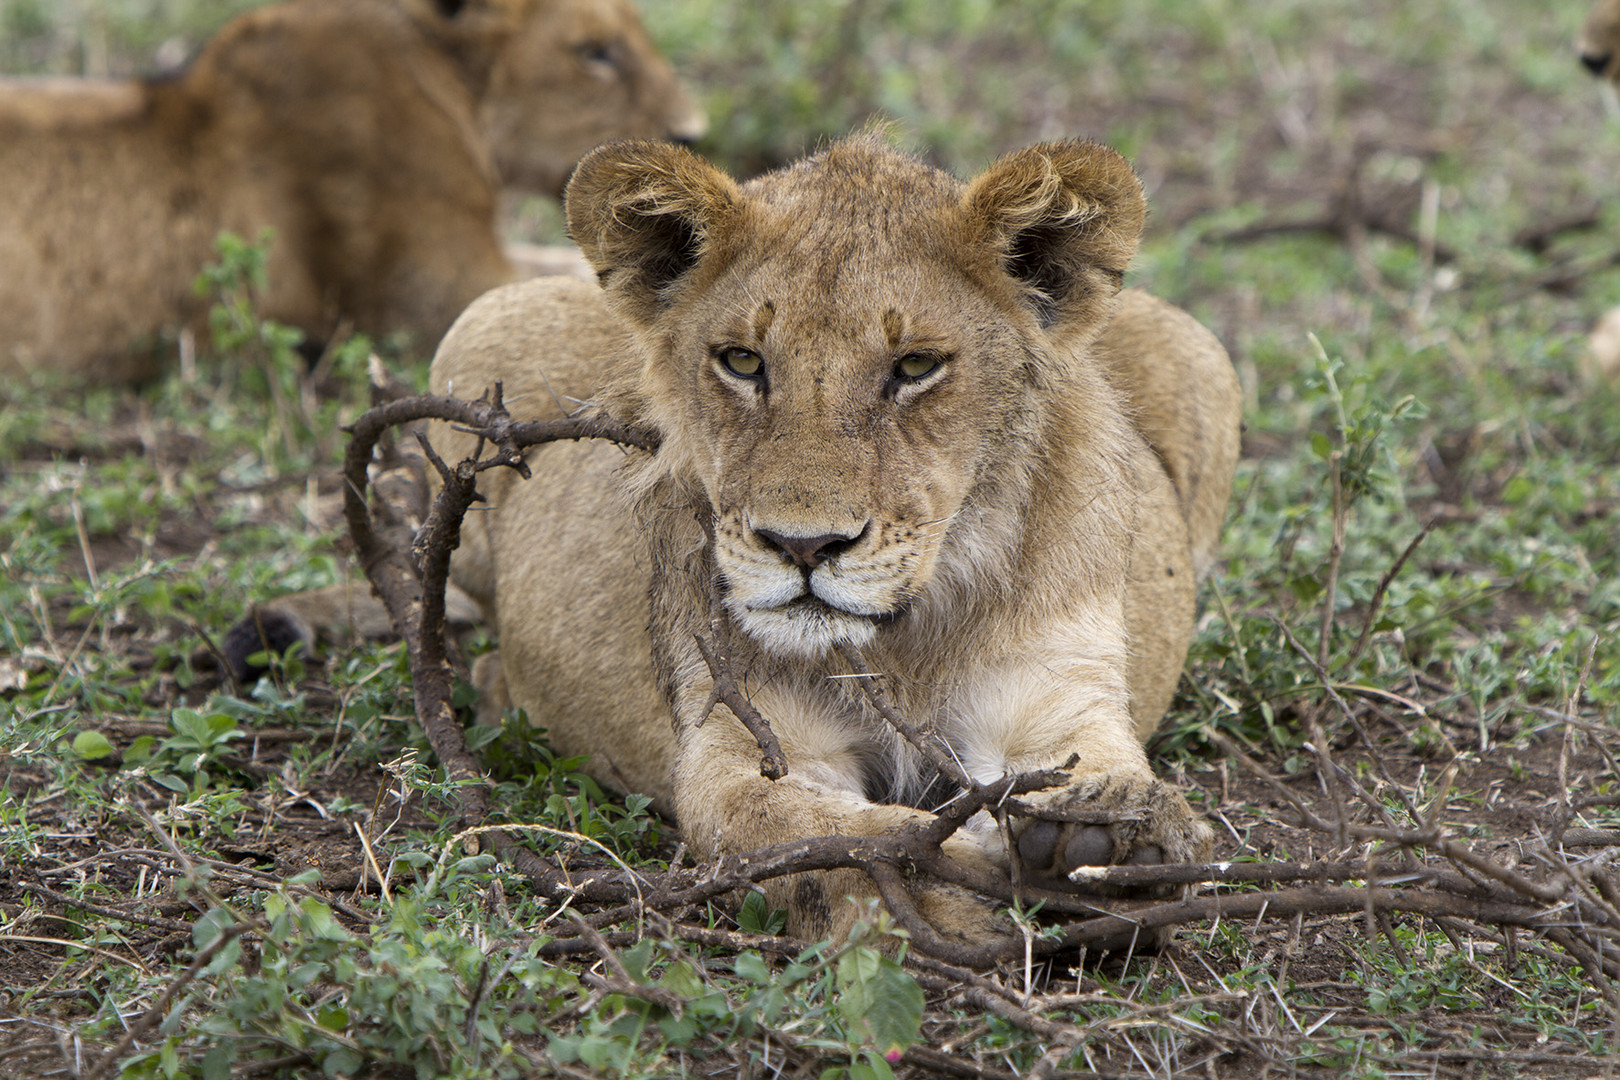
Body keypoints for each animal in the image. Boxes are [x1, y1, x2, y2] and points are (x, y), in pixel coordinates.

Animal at [405, 137, 1237, 945]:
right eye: (742, 361)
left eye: (915, 366)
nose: (803, 548)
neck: (905, 638)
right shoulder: (743, 750)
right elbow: (831, 834)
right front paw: (957, 889)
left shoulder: (1058, 702)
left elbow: (1092, 766)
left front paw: (1115, 838)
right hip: (480, 328)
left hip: (1200, 351)